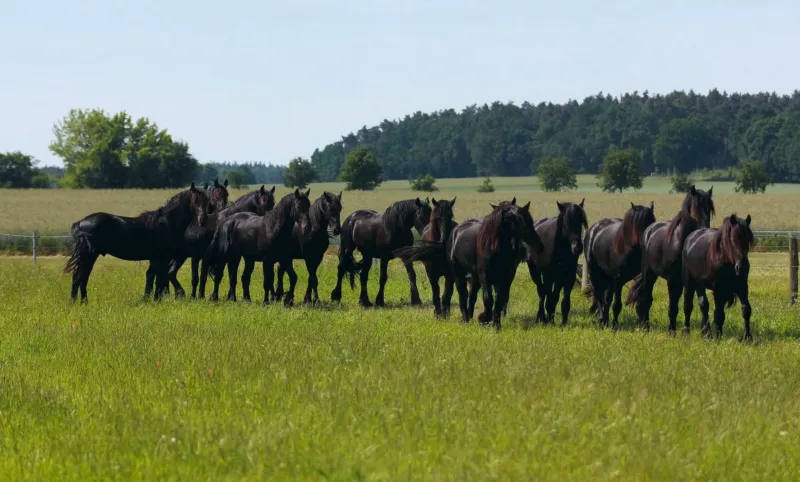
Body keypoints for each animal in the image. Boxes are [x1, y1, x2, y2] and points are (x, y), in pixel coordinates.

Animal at [64, 183, 211, 303]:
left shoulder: (156, 259)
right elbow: (159, 279)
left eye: (207, 201)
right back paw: (77, 302)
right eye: (195, 200)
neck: (167, 223)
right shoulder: (162, 258)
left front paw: (149, 300)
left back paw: (81, 302)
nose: (203, 219)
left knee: (81, 278)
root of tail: (80, 223)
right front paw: (156, 300)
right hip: (88, 256)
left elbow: (153, 278)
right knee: (79, 277)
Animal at [625, 186, 715, 333]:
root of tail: (649, 230)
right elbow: (673, 306)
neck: (681, 242)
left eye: (710, 208)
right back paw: (645, 326)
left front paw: (706, 331)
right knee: (645, 296)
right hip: (649, 273)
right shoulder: (673, 280)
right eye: (694, 208)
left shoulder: (695, 278)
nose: (704, 230)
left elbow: (703, 303)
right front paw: (672, 331)